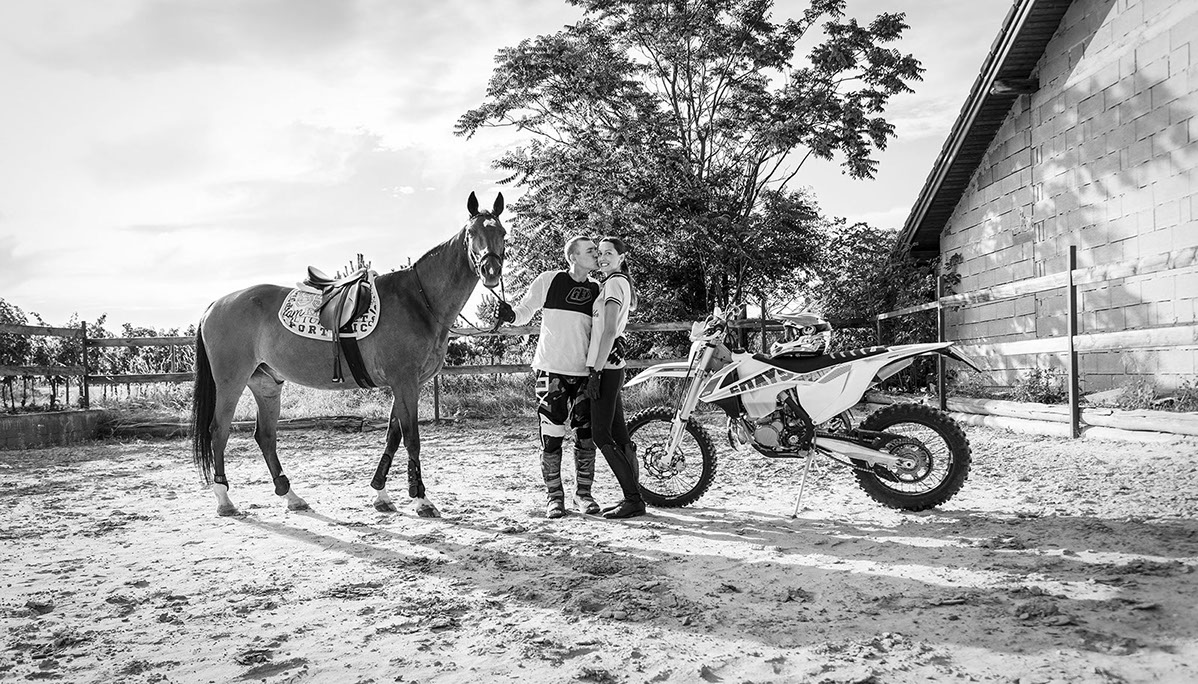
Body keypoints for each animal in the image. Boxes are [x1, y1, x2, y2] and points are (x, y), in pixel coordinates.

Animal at [191, 192, 506, 517]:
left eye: (502, 233)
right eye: (471, 234)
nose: (491, 271)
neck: (418, 299)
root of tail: (216, 304)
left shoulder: (407, 385)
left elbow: (393, 437)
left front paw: (381, 494)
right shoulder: (405, 383)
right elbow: (412, 439)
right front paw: (421, 499)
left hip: (266, 384)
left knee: (264, 436)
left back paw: (291, 496)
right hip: (231, 382)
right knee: (218, 431)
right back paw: (225, 500)